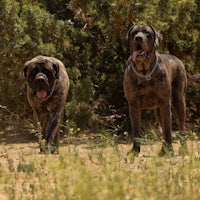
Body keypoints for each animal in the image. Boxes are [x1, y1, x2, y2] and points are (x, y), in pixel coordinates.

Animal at [124, 25, 199, 155]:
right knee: (164, 128)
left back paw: (182, 149)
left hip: (179, 102)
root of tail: (179, 61)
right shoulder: (133, 105)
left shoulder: (165, 104)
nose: (138, 38)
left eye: (147, 33)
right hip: (158, 112)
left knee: (181, 128)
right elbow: (136, 130)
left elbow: (168, 129)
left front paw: (168, 150)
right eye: (134, 33)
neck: (144, 71)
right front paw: (135, 150)